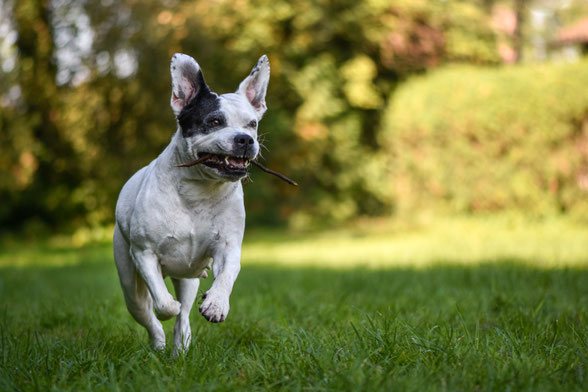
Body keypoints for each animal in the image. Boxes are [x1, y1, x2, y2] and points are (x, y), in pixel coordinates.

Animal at [112, 51, 268, 352]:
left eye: (252, 124)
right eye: (214, 122)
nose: (245, 139)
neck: (200, 190)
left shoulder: (228, 247)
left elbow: (226, 275)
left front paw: (216, 303)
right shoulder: (144, 253)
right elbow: (162, 304)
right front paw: (167, 307)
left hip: (189, 277)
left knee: (183, 314)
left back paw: (181, 345)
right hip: (129, 283)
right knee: (148, 313)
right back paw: (159, 343)